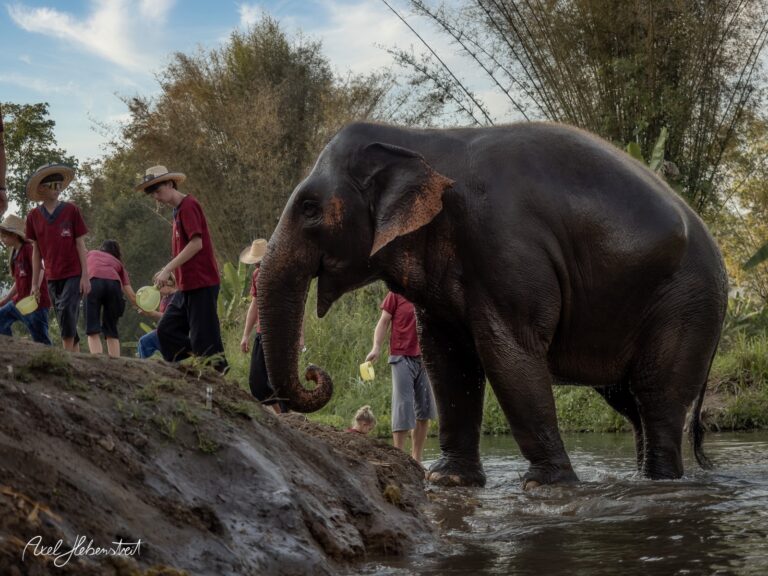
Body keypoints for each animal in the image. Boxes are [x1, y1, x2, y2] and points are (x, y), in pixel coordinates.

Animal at [258, 121, 728, 488]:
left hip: (687, 303)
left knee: (657, 397)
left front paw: (545, 484)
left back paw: (662, 482)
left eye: (309, 208)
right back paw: (644, 478)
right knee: (629, 402)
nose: (315, 370)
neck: (418, 140)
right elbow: (447, 359)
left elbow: (508, 352)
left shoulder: (505, 246)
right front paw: (448, 479)